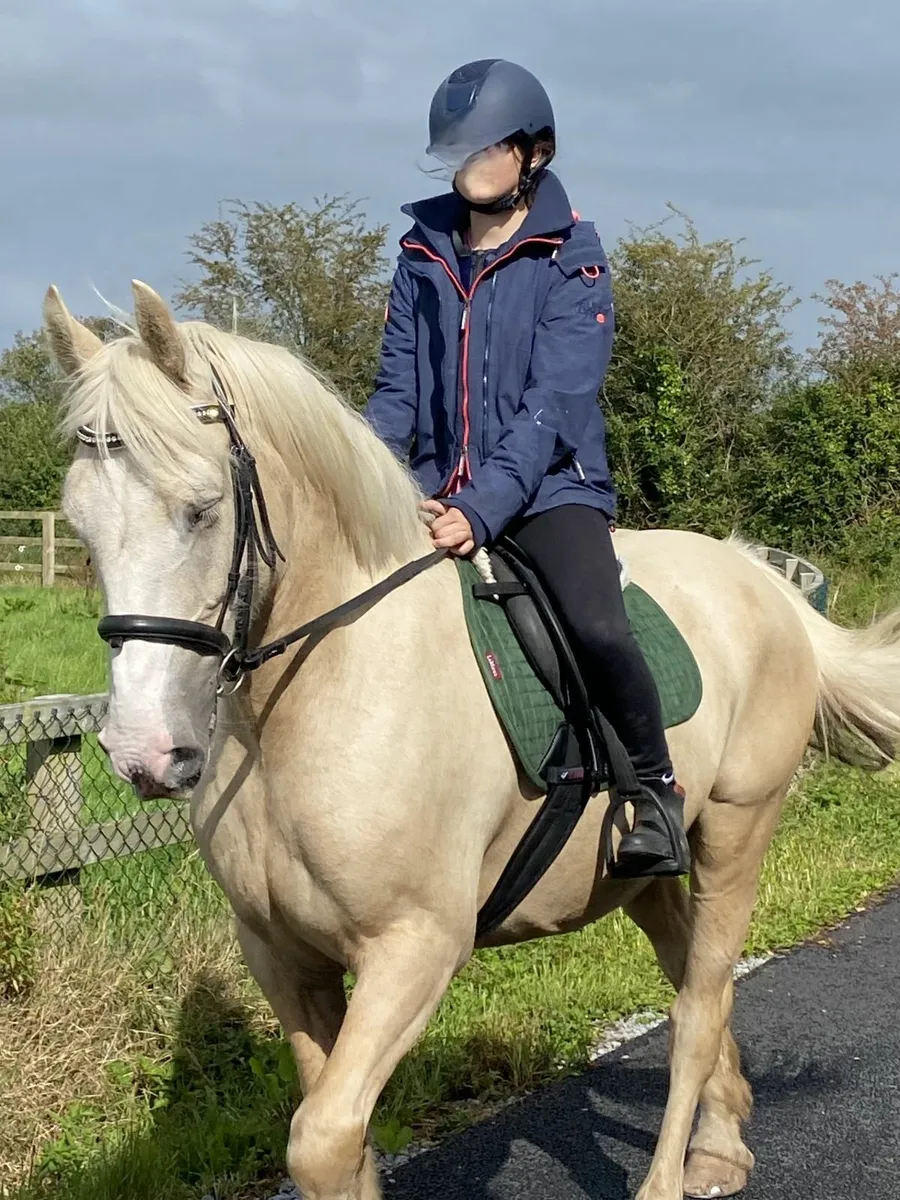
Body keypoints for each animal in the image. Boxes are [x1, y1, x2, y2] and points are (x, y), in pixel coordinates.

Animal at [43, 279, 900, 1200]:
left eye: (200, 511)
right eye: (79, 527)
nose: (145, 752)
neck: (317, 695)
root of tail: (762, 581)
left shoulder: (414, 950)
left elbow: (320, 1140)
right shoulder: (282, 957)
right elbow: (342, 1142)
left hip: (738, 828)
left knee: (699, 1005)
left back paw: (673, 1173)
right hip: (640, 874)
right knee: (694, 978)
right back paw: (721, 1143)